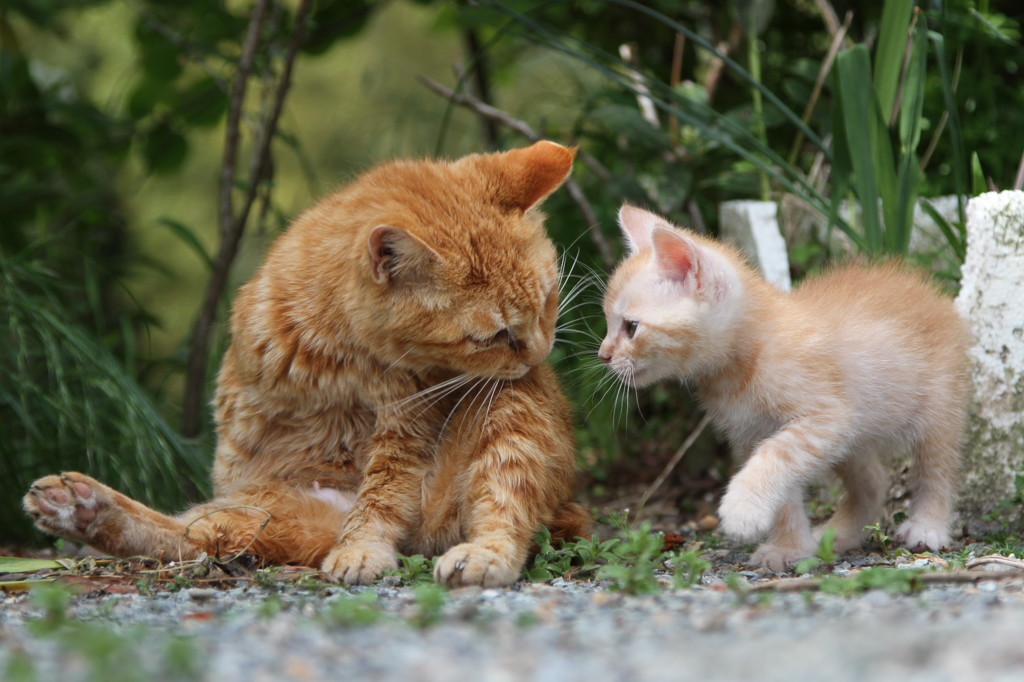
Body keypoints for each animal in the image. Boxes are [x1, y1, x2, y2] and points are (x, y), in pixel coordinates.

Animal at [24, 139, 589, 585]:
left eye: (547, 303)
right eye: (493, 336)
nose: (540, 353)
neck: (340, 354)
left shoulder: (405, 430)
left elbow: (382, 497)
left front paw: (362, 548)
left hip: (512, 411)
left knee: (504, 513)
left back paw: (479, 556)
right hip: (266, 513)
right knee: (189, 536)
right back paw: (81, 508)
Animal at [598, 202, 966, 569]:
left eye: (631, 327)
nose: (603, 355)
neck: (744, 363)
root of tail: (926, 289)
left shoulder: (826, 417)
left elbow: (776, 456)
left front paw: (742, 509)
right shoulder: (755, 430)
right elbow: (783, 490)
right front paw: (789, 548)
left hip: (936, 406)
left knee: (936, 469)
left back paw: (928, 526)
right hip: (854, 436)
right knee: (875, 480)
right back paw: (841, 534)